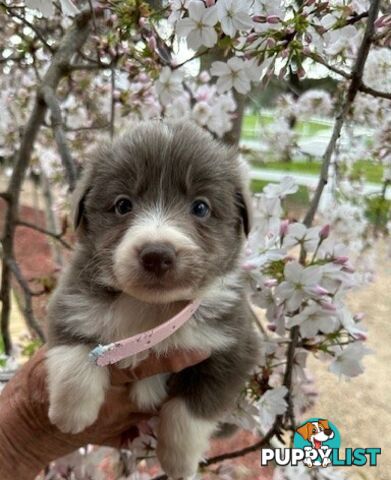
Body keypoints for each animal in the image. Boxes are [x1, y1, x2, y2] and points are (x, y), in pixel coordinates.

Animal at [46, 121, 260, 480]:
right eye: (123, 205)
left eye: (200, 207)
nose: (157, 254)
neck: (151, 308)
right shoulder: (70, 300)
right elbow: (77, 348)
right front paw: (70, 414)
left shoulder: (234, 344)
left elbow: (190, 409)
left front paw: (179, 461)